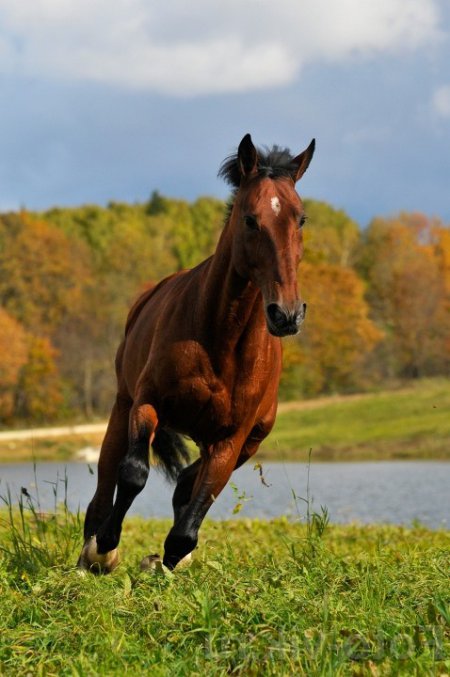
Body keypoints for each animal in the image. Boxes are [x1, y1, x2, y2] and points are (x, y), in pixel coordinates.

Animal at [77, 131, 314, 572]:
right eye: (250, 219)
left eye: (301, 219)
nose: (287, 314)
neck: (221, 340)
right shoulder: (148, 403)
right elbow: (133, 473)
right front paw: (105, 548)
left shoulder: (231, 439)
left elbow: (194, 510)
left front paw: (166, 559)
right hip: (122, 405)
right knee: (107, 473)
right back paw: (92, 550)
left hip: (247, 440)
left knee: (186, 484)